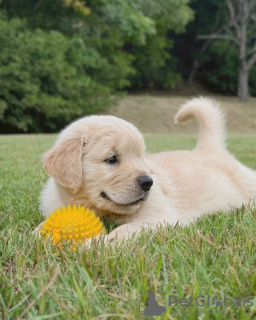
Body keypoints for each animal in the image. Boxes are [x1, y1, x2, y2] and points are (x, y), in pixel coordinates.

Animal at [39, 97, 256, 240]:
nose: (148, 183)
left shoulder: (158, 218)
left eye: (140, 157)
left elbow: (122, 232)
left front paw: (95, 245)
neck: (103, 211)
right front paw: (39, 235)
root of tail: (210, 148)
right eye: (112, 159)